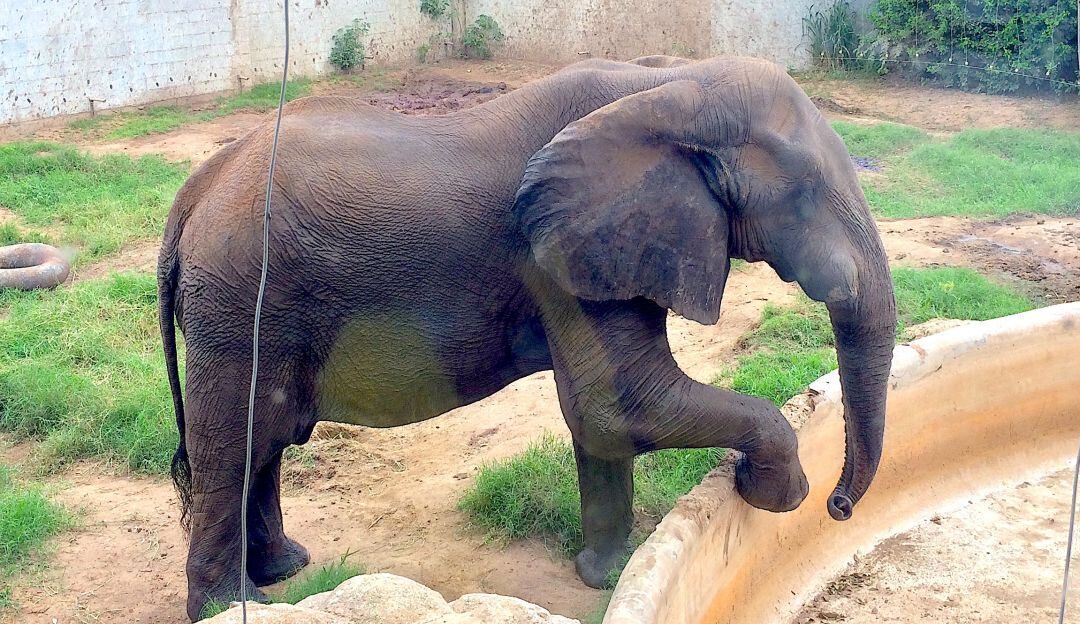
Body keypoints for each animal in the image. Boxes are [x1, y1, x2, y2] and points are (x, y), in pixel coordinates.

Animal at [158, 56, 897, 620]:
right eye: (807, 192)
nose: (838, 506)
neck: (671, 85)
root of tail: (192, 194)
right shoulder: (555, 255)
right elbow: (618, 406)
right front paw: (776, 493)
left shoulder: (596, 247)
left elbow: (608, 418)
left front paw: (606, 573)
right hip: (239, 303)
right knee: (233, 447)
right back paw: (232, 605)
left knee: (262, 443)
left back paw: (285, 571)